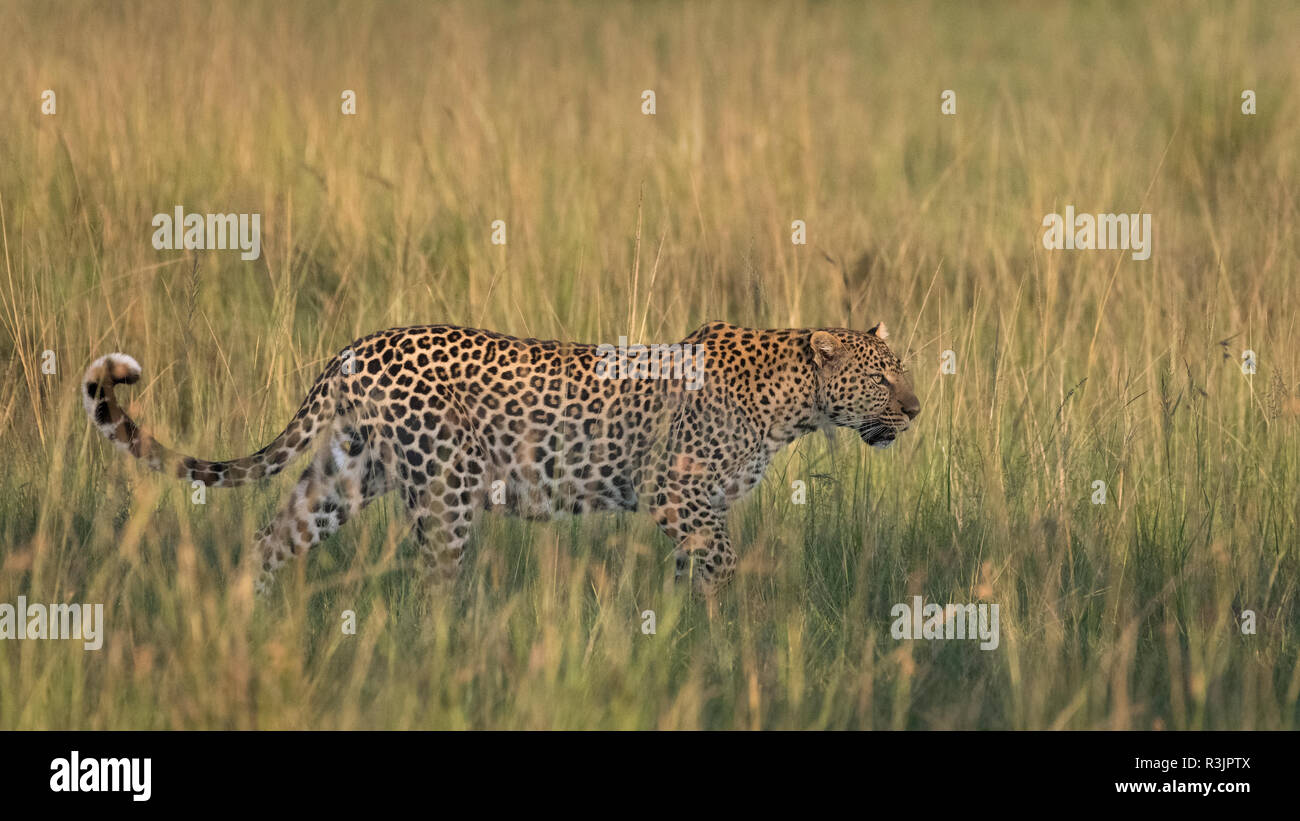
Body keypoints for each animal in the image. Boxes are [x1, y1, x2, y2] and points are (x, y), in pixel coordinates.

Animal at [83, 320, 915, 597]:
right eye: (884, 376)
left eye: (904, 369)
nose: (913, 408)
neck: (798, 399)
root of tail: (356, 346)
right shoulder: (681, 497)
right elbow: (723, 567)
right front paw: (729, 636)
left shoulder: (693, 510)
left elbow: (695, 574)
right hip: (446, 487)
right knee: (435, 583)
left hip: (345, 473)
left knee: (271, 537)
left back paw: (243, 619)